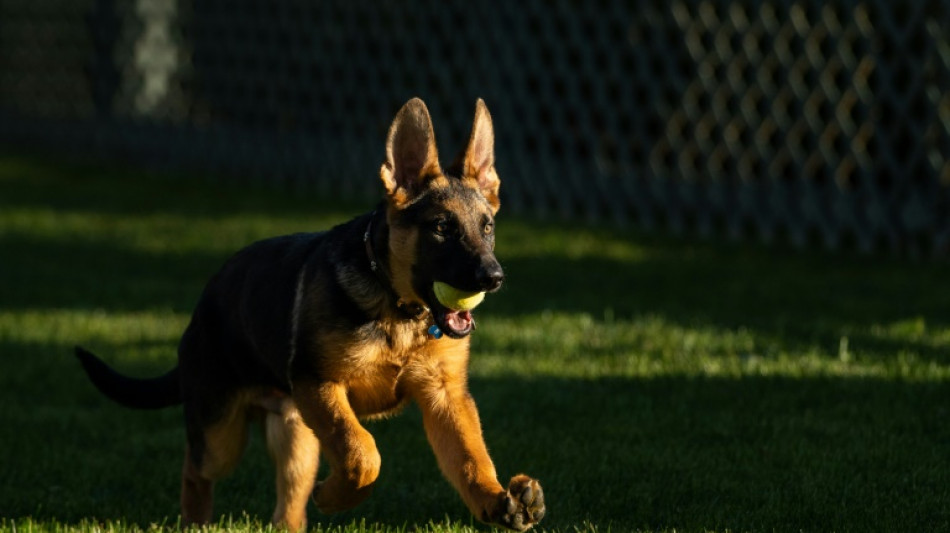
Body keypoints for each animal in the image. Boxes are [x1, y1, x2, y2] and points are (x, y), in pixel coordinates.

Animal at [76, 98, 544, 528]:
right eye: (442, 228)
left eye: (487, 227)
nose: (494, 277)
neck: (398, 310)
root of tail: (203, 305)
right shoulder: (320, 384)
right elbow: (363, 451)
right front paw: (336, 497)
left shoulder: (445, 397)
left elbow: (470, 457)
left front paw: (497, 500)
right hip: (222, 432)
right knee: (195, 467)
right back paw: (196, 521)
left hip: (296, 435)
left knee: (288, 503)